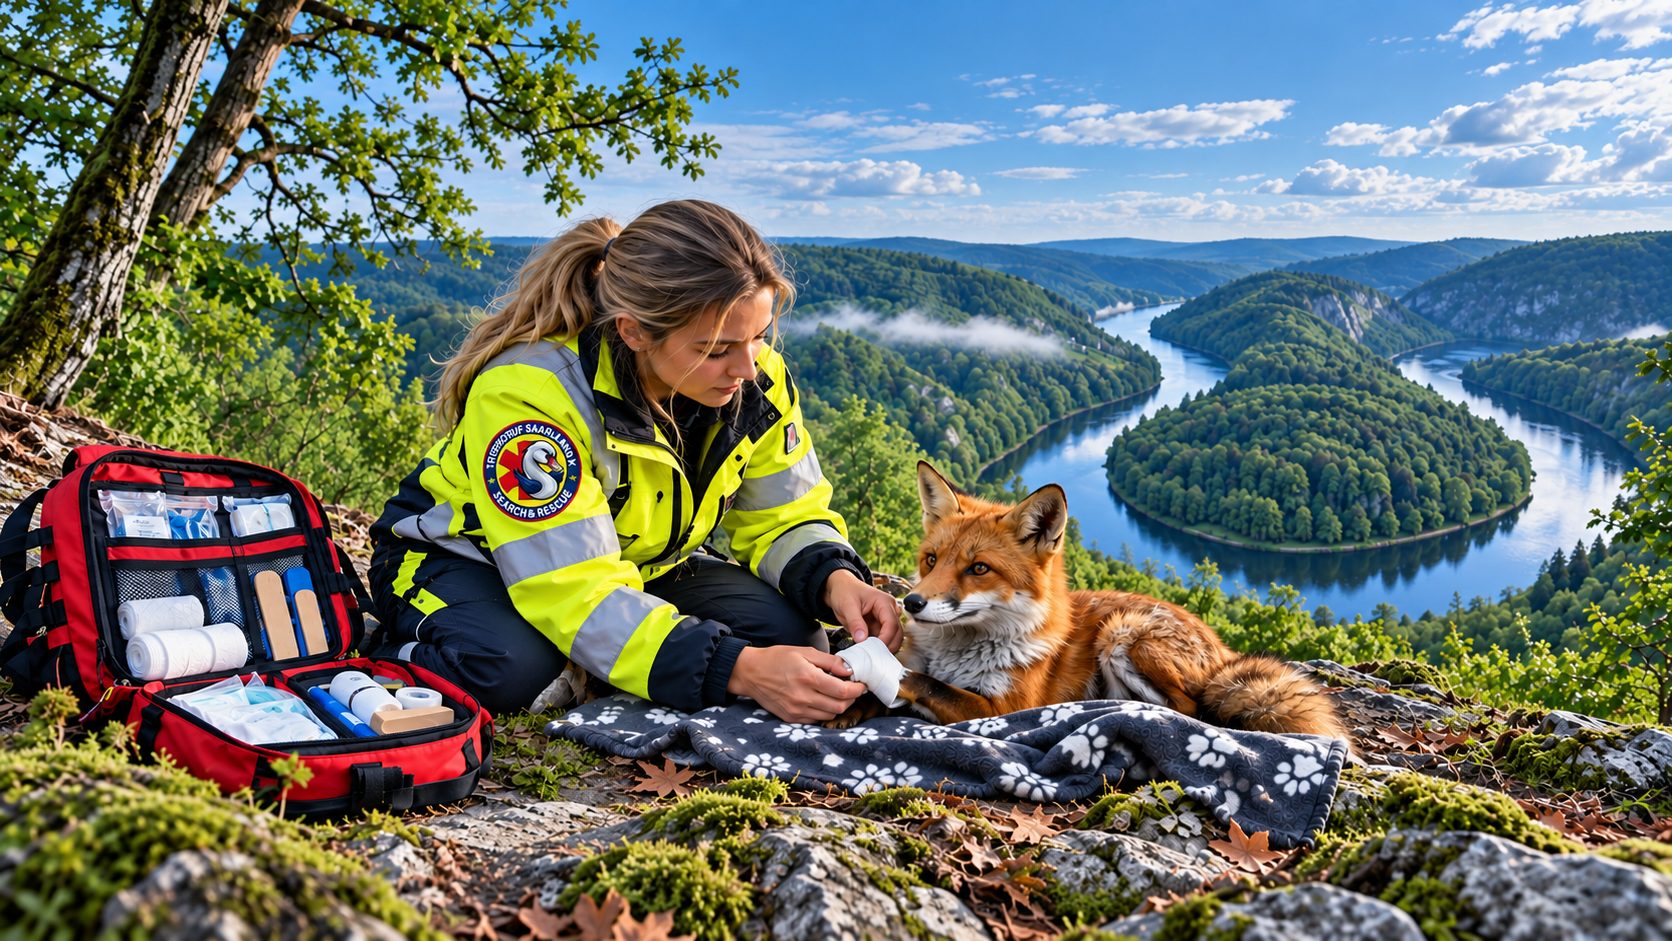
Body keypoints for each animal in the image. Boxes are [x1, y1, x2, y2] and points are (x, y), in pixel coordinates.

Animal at [836, 461, 1349, 742]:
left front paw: (876, 686)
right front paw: (851, 705)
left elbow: (924, 683)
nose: (912, 603)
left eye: (978, 568)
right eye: (931, 559)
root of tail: (1220, 648)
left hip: (1124, 634)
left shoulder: (998, 709)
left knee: (1192, 711)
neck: (960, 654)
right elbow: (898, 687)